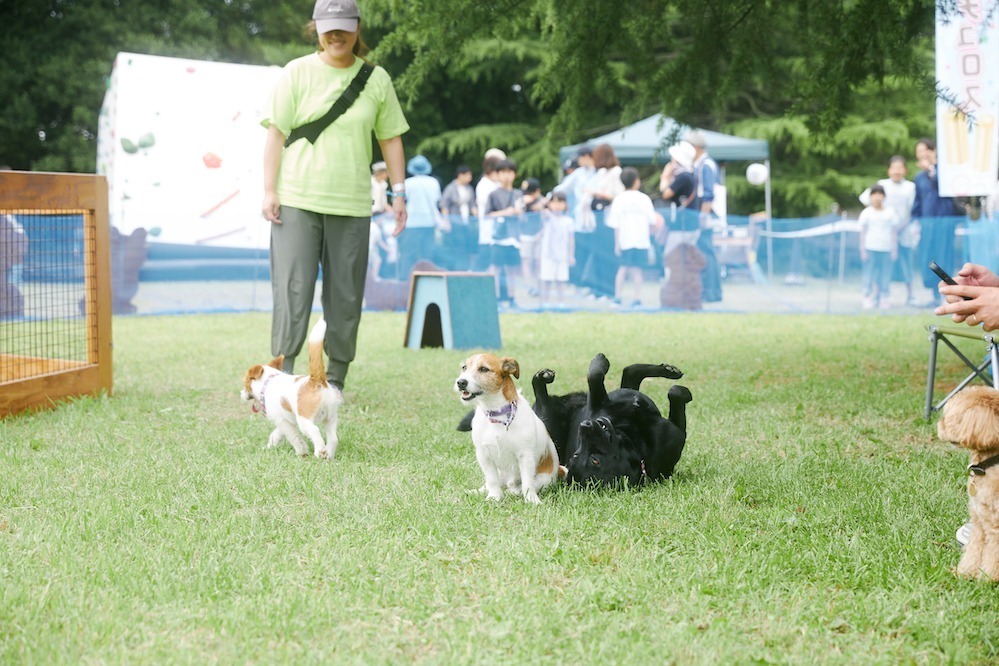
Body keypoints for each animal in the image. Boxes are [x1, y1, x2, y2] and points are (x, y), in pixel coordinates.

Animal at [242, 318, 344, 456]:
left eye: (245, 382)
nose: (241, 393)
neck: (268, 381)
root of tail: (317, 380)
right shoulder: (286, 420)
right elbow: (276, 434)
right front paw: (269, 446)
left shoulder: (282, 421)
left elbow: (294, 437)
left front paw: (301, 451)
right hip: (330, 418)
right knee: (333, 438)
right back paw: (329, 454)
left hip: (305, 421)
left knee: (315, 431)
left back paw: (320, 451)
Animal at [458, 352, 568, 504]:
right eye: (464, 367)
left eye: (483, 369)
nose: (460, 382)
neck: (497, 414)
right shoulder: (483, 455)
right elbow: (492, 480)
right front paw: (494, 497)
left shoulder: (525, 455)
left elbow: (527, 483)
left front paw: (532, 500)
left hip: (543, 479)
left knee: (518, 488)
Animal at [940, 386, 999, 580]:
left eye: (951, 417)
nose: (939, 424)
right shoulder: (979, 522)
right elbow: (974, 550)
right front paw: (965, 573)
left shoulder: (995, 526)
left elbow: (993, 554)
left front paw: (987, 579)